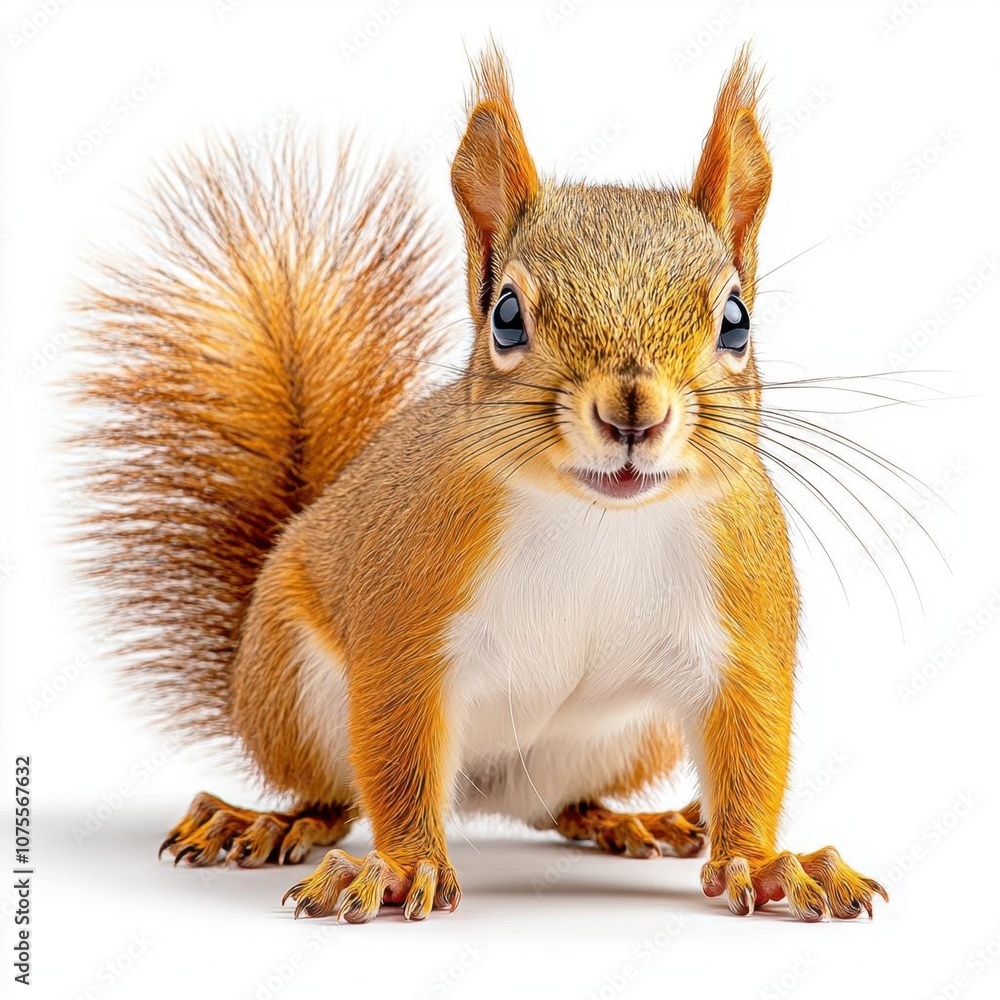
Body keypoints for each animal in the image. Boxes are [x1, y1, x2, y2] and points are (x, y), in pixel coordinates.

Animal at [71, 44, 887, 923]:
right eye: (506, 316)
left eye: (736, 321)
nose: (633, 411)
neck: (598, 520)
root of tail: (485, 791)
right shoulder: (406, 614)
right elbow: (397, 756)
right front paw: (401, 870)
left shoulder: (743, 619)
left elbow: (750, 750)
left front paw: (765, 865)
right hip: (293, 686)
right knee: (336, 795)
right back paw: (264, 821)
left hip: (629, 737)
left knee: (562, 807)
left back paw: (630, 820)